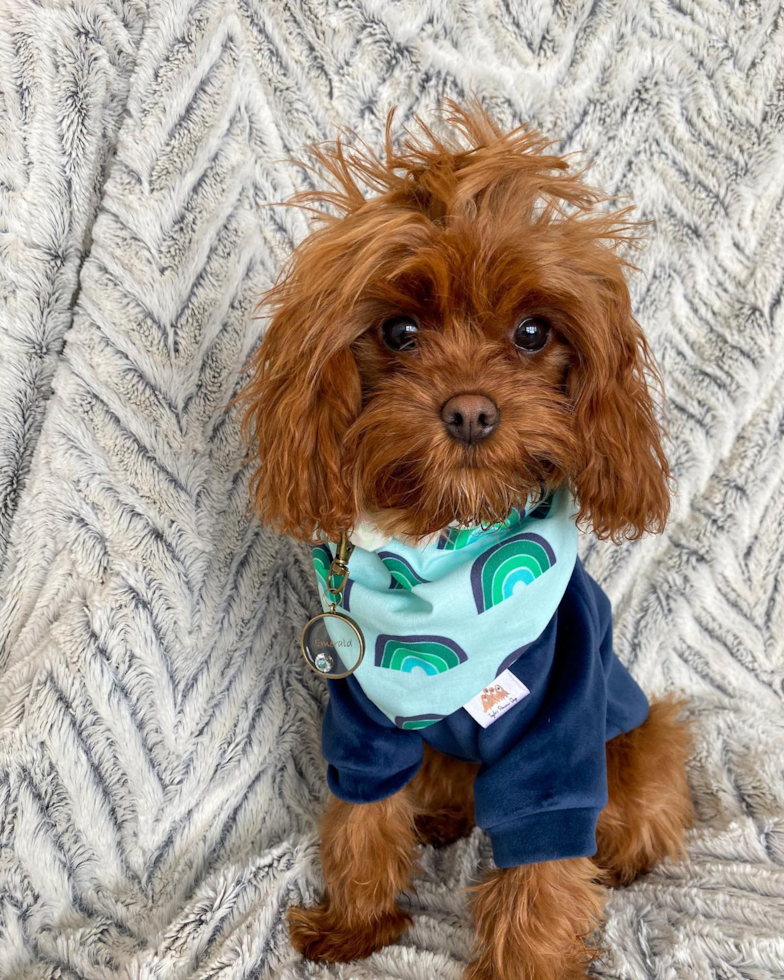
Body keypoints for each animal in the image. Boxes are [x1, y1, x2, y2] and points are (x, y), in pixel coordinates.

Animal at [239, 103, 692, 976]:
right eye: (399, 330)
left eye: (532, 332)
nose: (472, 412)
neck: (445, 560)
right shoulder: (365, 722)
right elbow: (361, 819)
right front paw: (355, 924)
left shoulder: (558, 738)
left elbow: (541, 875)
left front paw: (529, 963)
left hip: (636, 732)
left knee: (643, 798)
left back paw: (627, 856)